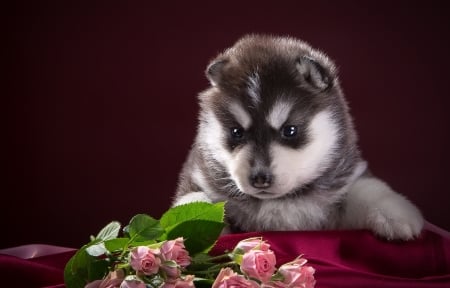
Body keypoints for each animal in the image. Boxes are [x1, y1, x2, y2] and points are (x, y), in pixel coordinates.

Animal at [174, 34, 424, 241]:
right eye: (236, 132)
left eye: (290, 130)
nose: (260, 178)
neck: (279, 201)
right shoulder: (199, 177)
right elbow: (194, 201)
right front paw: (190, 229)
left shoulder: (343, 180)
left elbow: (367, 188)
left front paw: (396, 213)